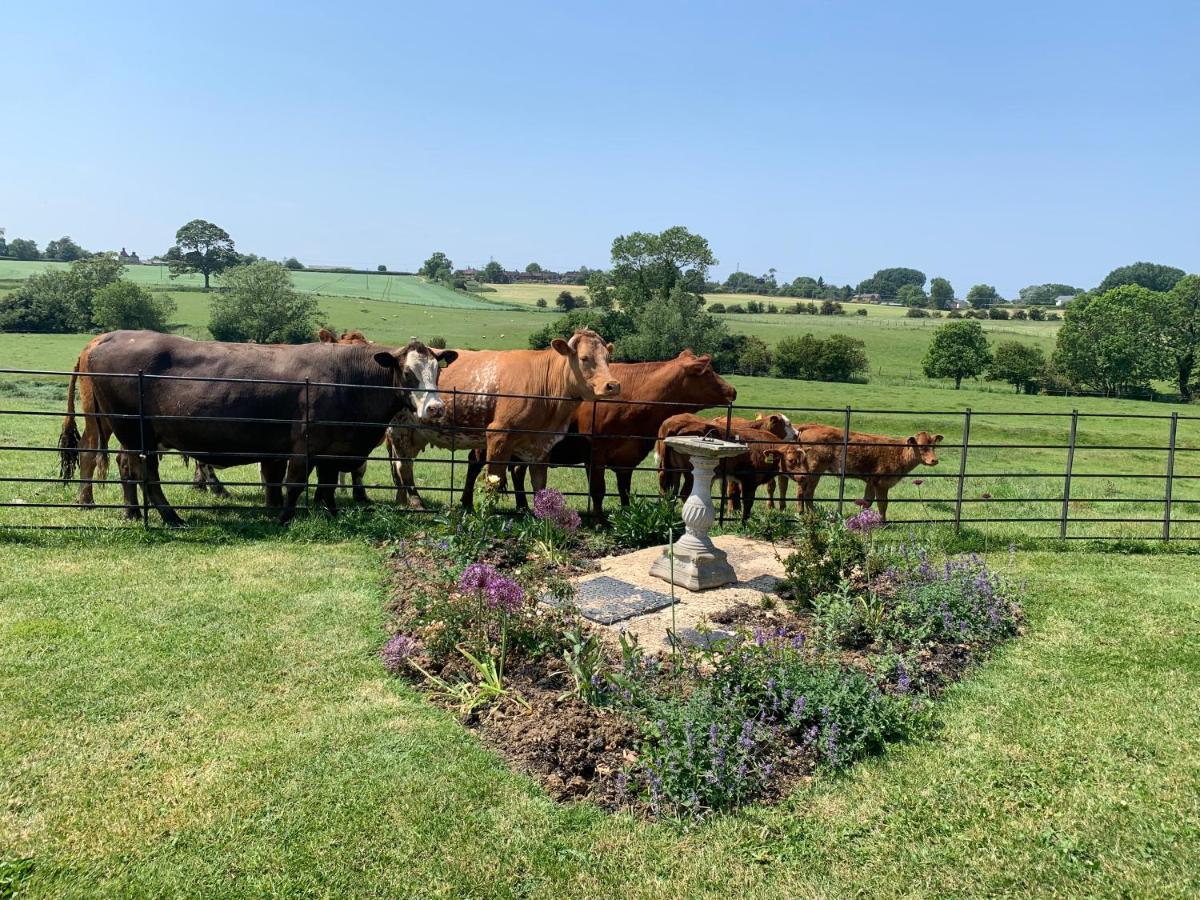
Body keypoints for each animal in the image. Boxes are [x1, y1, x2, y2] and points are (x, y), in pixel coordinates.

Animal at [68, 331, 456, 528]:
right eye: (407, 372)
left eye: (438, 370)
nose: (435, 408)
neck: (349, 379)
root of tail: (108, 338)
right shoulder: (304, 443)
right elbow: (294, 483)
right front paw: (284, 517)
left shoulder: (334, 447)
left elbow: (327, 485)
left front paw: (330, 514)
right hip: (136, 432)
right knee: (143, 472)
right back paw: (170, 517)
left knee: (129, 467)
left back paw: (134, 512)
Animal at [388, 328, 624, 513]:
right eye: (584, 358)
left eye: (608, 359)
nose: (612, 385)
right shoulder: (498, 436)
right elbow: (494, 479)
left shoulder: (542, 445)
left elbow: (539, 484)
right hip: (400, 429)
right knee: (403, 466)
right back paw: (416, 502)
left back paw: (402, 501)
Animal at [792, 427, 940, 525]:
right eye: (921, 447)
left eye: (933, 446)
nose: (934, 460)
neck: (899, 452)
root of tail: (811, 427)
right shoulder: (882, 484)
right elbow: (882, 504)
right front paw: (883, 523)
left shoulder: (871, 482)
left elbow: (867, 502)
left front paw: (862, 520)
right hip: (814, 470)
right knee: (805, 492)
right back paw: (808, 514)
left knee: (805, 492)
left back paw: (808, 514)